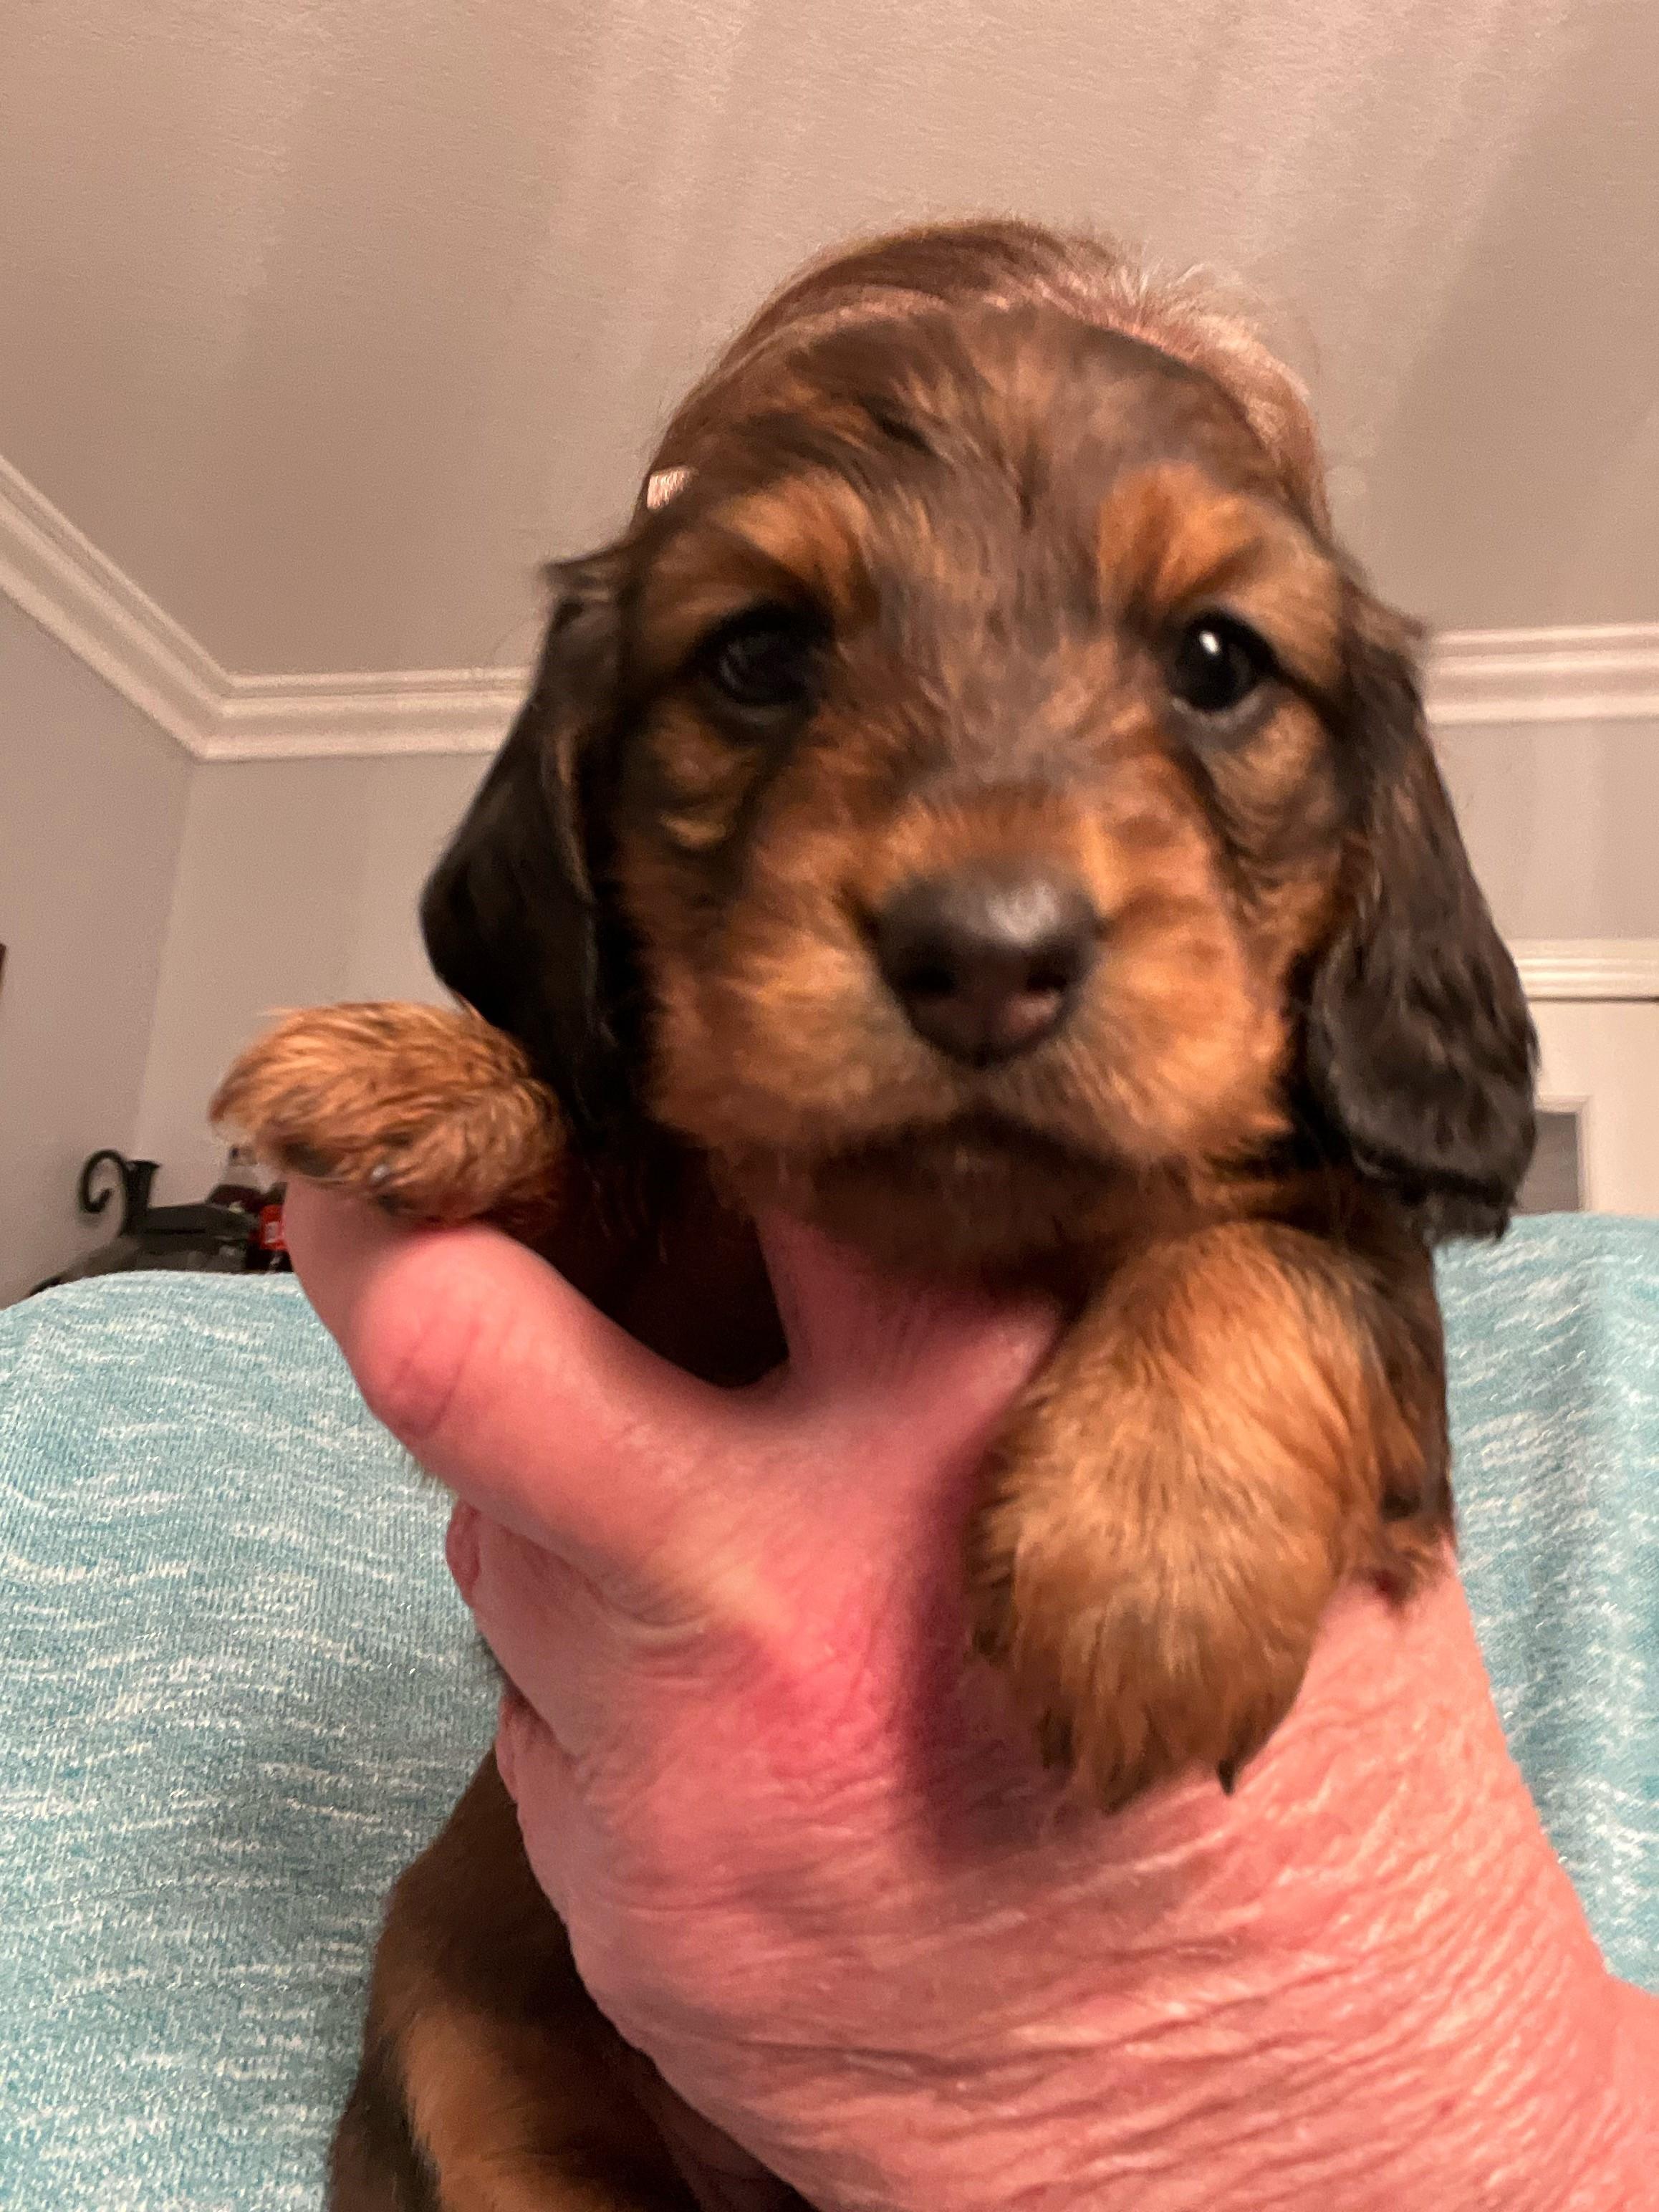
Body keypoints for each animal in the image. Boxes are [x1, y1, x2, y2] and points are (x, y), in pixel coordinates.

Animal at [213, 219, 1536, 2209]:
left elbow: (1284, 1256)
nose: (984, 956)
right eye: (759, 653)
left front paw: (1146, 1561)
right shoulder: (676, 1277)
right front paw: (435, 1070)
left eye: (1217, 659)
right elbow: (630, 1152)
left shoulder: (1366, 1290)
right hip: (464, 2021)